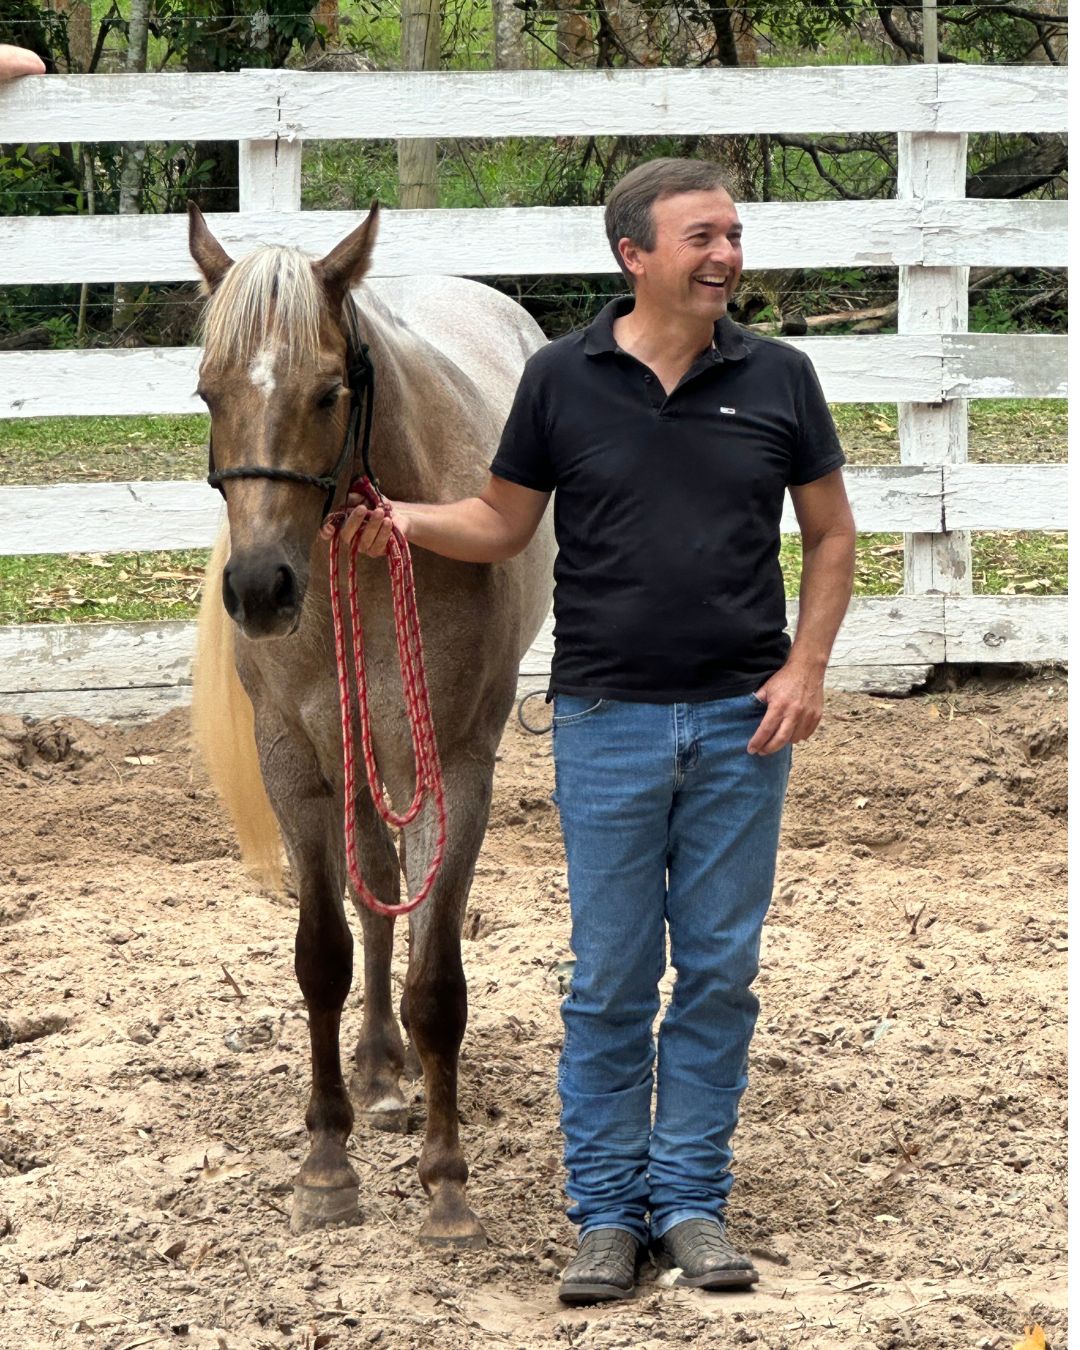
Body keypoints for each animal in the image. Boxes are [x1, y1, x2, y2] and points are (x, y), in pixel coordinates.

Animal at [187, 201, 555, 1245]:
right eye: (206, 393)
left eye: (327, 393)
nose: (259, 590)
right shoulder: (294, 764)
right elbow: (323, 955)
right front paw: (325, 1165)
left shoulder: (456, 767)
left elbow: (439, 981)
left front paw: (447, 1185)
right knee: (374, 890)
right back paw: (379, 1068)